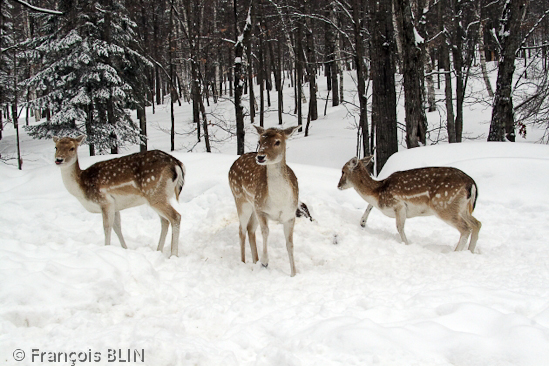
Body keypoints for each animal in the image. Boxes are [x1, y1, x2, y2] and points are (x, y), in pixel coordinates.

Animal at [54, 135, 185, 258]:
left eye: (72, 148)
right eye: (56, 147)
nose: (58, 159)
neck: (81, 188)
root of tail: (177, 164)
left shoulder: (105, 201)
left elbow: (106, 227)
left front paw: (106, 248)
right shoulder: (115, 206)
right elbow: (117, 227)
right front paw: (124, 248)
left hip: (155, 194)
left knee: (176, 217)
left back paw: (173, 254)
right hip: (158, 196)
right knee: (164, 221)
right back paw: (158, 250)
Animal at [228, 124, 300, 276]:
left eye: (278, 142)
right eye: (259, 141)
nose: (260, 156)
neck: (279, 201)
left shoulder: (290, 215)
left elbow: (290, 244)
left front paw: (294, 273)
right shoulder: (261, 210)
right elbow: (266, 232)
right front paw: (265, 261)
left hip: (252, 205)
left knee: (250, 229)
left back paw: (255, 260)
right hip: (240, 198)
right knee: (242, 229)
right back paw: (244, 262)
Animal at [338, 156, 480, 253]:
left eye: (343, 171)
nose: (338, 186)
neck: (378, 193)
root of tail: (472, 184)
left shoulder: (399, 205)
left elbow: (399, 227)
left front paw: (406, 244)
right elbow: (369, 205)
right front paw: (362, 222)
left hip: (444, 205)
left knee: (466, 228)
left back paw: (456, 252)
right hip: (462, 208)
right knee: (477, 224)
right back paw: (470, 251)